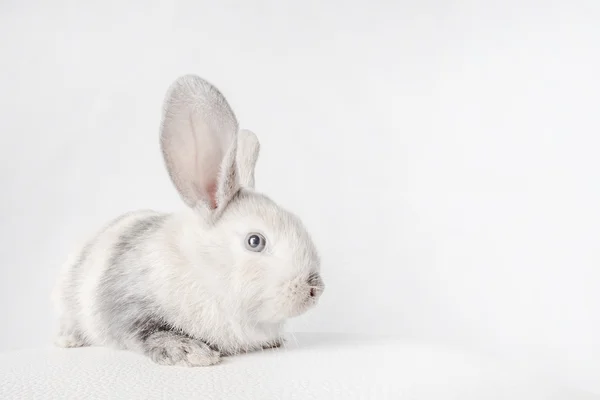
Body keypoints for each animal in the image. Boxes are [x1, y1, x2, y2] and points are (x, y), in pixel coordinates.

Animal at [51, 74, 324, 366]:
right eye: (255, 241)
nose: (315, 288)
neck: (202, 268)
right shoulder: (128, 305)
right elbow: (151, 333)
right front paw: (191, 352)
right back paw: (68, 340)